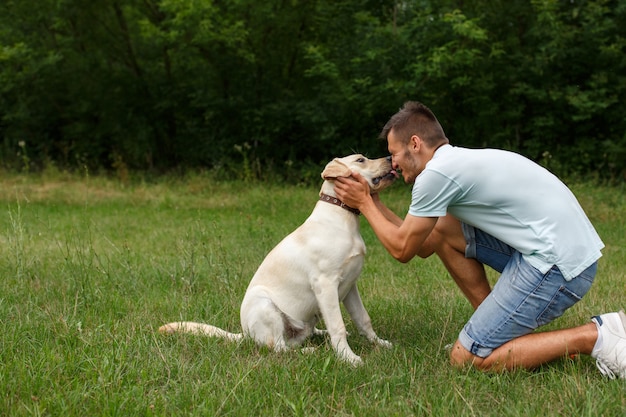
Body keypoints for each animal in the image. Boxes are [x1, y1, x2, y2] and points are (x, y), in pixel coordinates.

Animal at [158, 153, 398, 364]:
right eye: (361, 159)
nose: (389, 157)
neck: (343, 218)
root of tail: (244, 334)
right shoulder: (326, 284)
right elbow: (338, 325)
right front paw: (349, 359)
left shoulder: (350, 286)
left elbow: (363, 318)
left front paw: (380, 344)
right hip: (265, 305)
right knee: (278, 347)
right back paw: (310, 352)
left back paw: (319, 335)